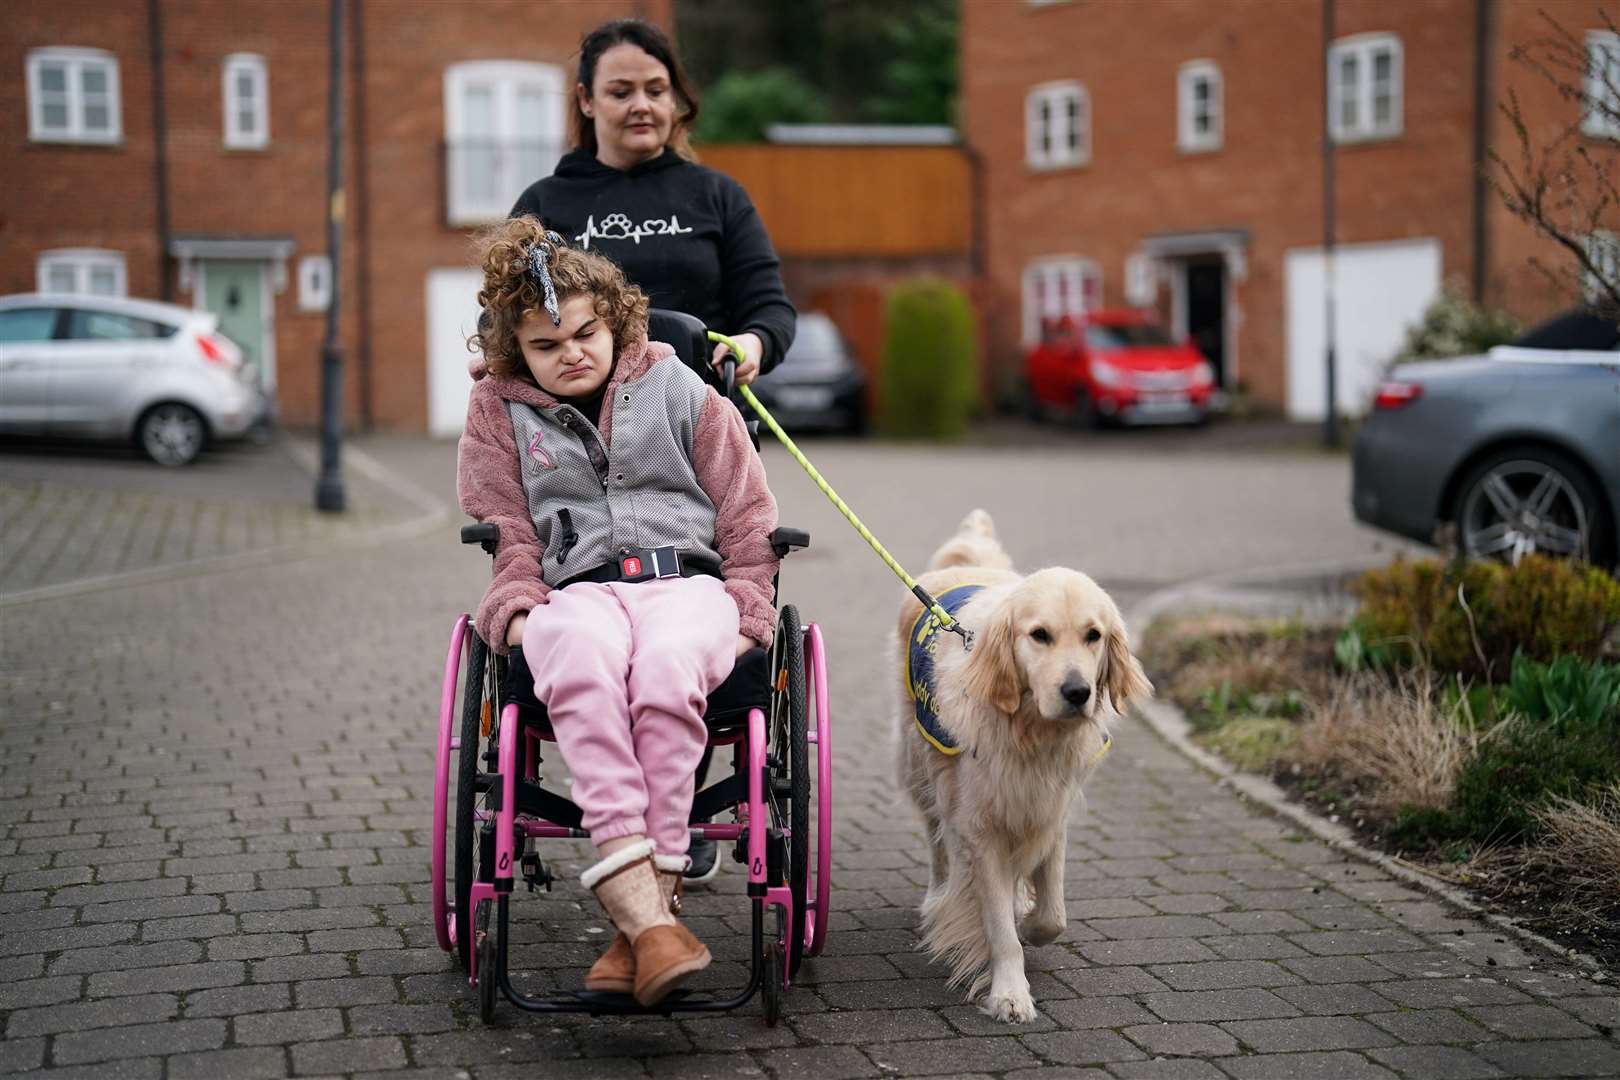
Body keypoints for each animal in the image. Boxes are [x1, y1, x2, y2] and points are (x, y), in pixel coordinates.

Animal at [900, 511, 1153, 1029]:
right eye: (1039, 635)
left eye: (1093, 635)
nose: (1078, 692)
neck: (1031, 732)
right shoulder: (980, 824)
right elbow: (999, 927)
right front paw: (1010, 993)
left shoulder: (1049, 808)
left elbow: (1053, 913)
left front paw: (1032, 922)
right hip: (922, 768)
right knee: (936, 840)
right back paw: (937, 896)